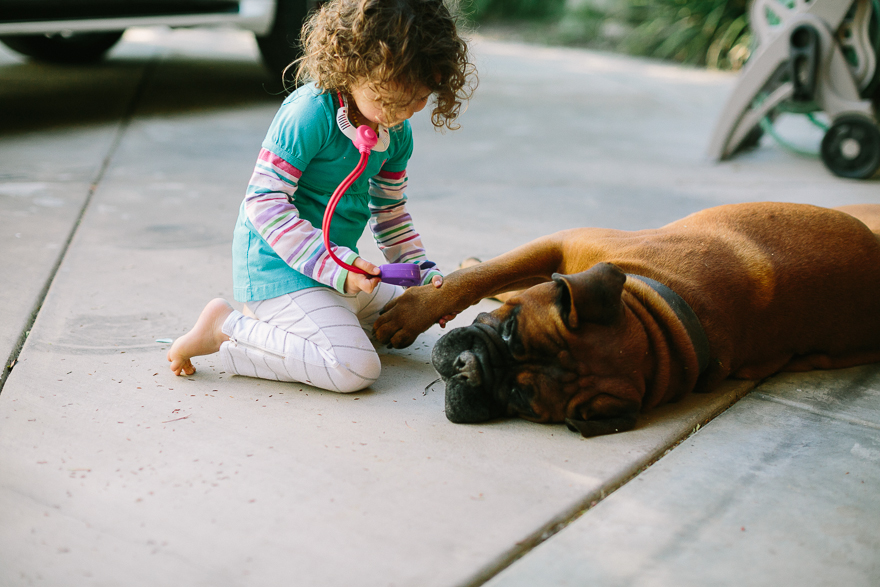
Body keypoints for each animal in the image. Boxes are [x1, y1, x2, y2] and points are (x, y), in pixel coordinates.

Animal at [372, 202, 880, 436]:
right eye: (511, 332)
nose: (468, 370)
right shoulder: (560, 244)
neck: (667, 320)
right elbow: (480, 277)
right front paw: (415, 307)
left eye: (519, 398)